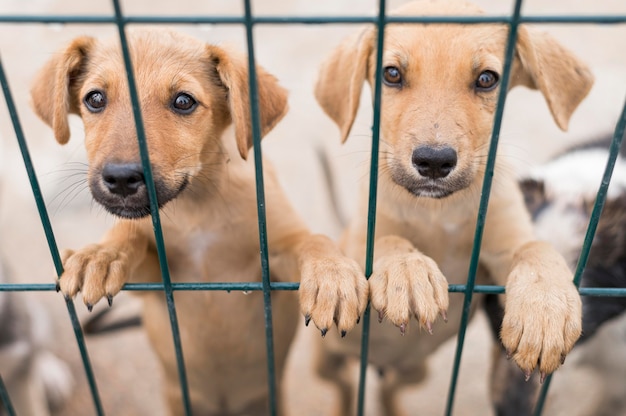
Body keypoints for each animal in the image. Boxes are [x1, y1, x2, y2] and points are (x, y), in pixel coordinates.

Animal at [31, 30, 368, 416]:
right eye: (95, 98)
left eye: (183, 101)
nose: (120, 179)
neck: (198, 208)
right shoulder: (155, 282)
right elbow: (129, 234)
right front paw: (98, 256)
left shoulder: (274, 269)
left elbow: (314, 240)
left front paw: (333, 278)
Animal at [314, 1, 592, 414]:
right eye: (391, 73)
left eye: (487, 79)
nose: (433, 162)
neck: (437, 213)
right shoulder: (358, 237)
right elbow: (386, 241)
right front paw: (407, 272)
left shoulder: (498, 254)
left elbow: (536, 248)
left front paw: (545, 310)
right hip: (326, 359)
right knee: (346, 385)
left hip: (415, 371)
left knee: (386, 389)